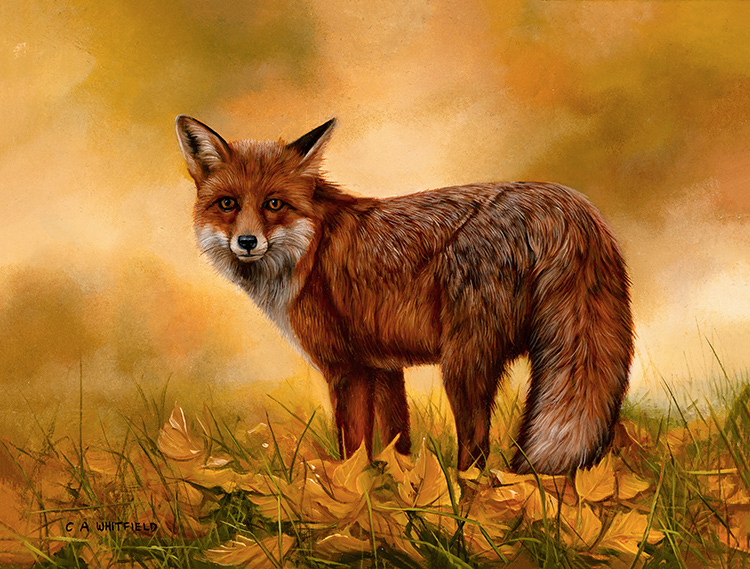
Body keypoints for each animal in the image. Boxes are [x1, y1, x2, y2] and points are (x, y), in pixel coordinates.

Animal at [175, 115, 634, 475]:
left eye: (274, 204)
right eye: (228, 204)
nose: (247, 242)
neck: (310, 250)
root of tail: (564, 205)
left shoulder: (346, 369)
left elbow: (352, 449)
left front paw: (349, 498)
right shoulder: (383, 366)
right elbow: (398, 444)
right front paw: (398, 498)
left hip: (463, 363)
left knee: (476, 449)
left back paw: (464, 510)